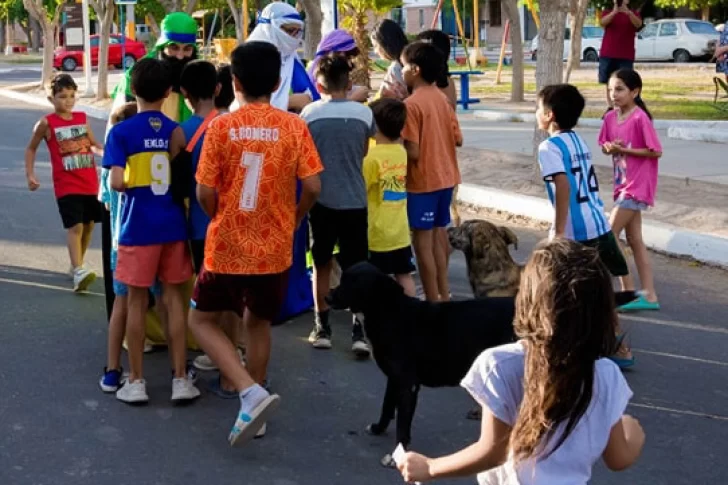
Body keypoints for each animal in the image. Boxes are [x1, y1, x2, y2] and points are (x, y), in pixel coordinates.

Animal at [328, 260, 516, 462]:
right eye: (343, 278)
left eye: (354, 283)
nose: (326, 297)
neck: (389, 312)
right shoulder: (394, 378)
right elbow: (386, 406)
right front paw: (378, 428)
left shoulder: (407, 384)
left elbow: (402, 423)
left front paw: (398, 455)